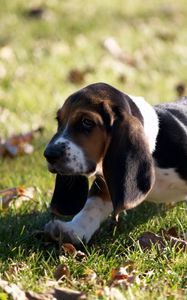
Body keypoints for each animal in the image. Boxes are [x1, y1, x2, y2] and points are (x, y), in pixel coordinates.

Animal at [43, 81, 187, 244]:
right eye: (59, 121)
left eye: (87, 122)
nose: (49, 154)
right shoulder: (106, 181)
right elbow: (92, 205)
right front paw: (73, 230)